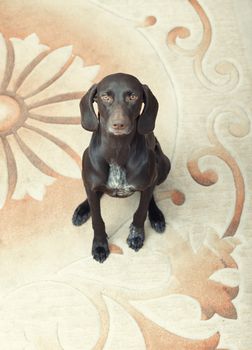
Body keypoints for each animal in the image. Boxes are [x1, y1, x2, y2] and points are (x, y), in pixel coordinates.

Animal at [73, 72, 171, 262]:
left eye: (133, 97)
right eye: (105, 97)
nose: (119, 124)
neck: (117, 149)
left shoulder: (147, 183)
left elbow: (140, 212)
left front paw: (137, 235)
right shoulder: (91, 184)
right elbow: (97, 218)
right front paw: (100, 244)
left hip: (163, 166)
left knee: (151, 194)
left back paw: (156, 216)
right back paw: (82, 209)